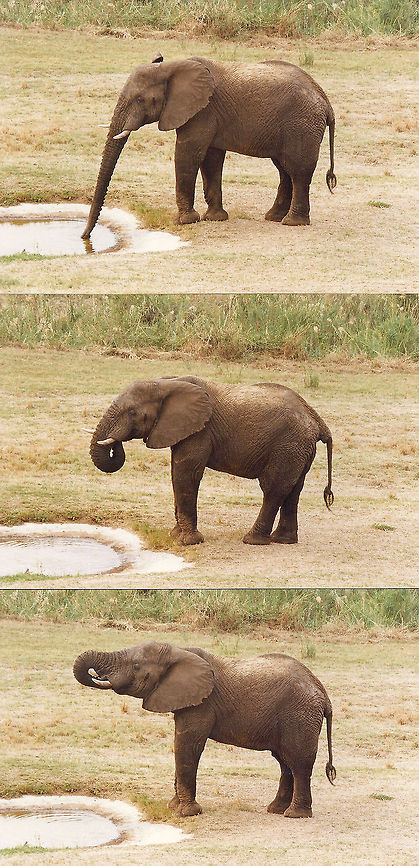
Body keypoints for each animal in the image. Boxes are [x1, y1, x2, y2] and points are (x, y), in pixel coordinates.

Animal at [73, 641, 336, 818]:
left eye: (136, 666)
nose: (95, 674)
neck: (179, 651)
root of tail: (323, 694)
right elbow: (180, 745)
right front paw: (173, 807)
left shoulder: (202, 703)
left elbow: (186, 746)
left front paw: (186, 813)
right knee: (284, 761)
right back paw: (275, 810)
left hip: (299, 715)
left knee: (298, 761)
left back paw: (295, 814)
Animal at [82, 54, 336, 237]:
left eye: (141, 100)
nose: (85, 237)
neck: (171, 68)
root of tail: (326, 101)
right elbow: (211, 160)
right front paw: (215, 218)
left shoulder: (201, 112)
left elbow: (188, 154)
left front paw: (184, 221)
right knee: (284, 170)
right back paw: (273, 217)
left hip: (302, 125)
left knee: (298, 170)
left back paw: (292, 223)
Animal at [88, 375, 333, 546]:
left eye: (132, 413)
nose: (115, 444)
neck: (166, 383)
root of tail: (317, 419)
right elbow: (176, 473)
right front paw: (174, 535)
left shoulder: (200, 431)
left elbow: (185, 473)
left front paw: (187, 542)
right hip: (299, 449)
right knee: (293, 490)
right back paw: (283, 540)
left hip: (288, 446)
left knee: (273, 489)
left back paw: (252, 540)